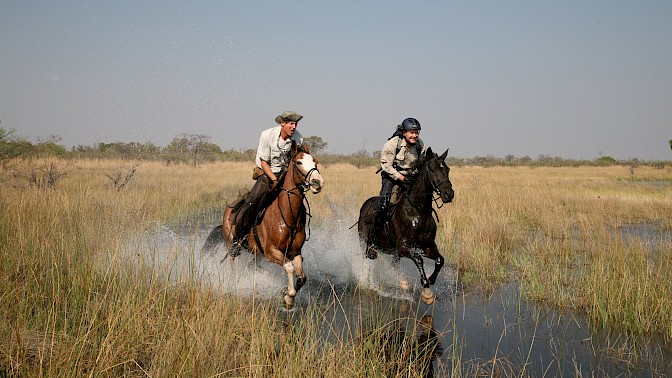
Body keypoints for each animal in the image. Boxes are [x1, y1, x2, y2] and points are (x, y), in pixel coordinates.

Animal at [202, 143, 322, 308]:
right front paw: (289, 296)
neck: (287, 215)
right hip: (232, 246)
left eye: (315, 161)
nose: (317, 182)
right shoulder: (271, 251)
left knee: (252, 265)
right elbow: (289, 267)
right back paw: (235, 284)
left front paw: (286, 295)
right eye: (299, 162)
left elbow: (302, 277)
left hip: (257, 253)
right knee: (233, 264)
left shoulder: (295, 252)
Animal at [356, 148, 452, 304]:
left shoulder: (427, 245)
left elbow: (440, 260)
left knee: (394, 264)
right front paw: (427, 292)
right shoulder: (404, 247)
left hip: (394, 251)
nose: (449, 194)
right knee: (369, 260)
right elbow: (419, 260)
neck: (418, 211)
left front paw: (430, 280)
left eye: (447, 169)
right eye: (432, 169)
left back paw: (402, 282)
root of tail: (366, 205)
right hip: (365, 242)